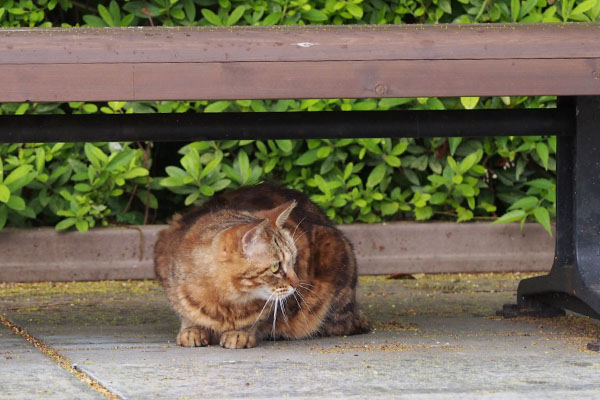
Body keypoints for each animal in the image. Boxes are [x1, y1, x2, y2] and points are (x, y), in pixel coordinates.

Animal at [154, 181, 370, 346]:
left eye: (293, 260)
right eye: (276, 267)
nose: (297, 283)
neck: (222, 301)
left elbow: (257, 319)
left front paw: (240, 332)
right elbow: (187, 314)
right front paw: (192, 329)